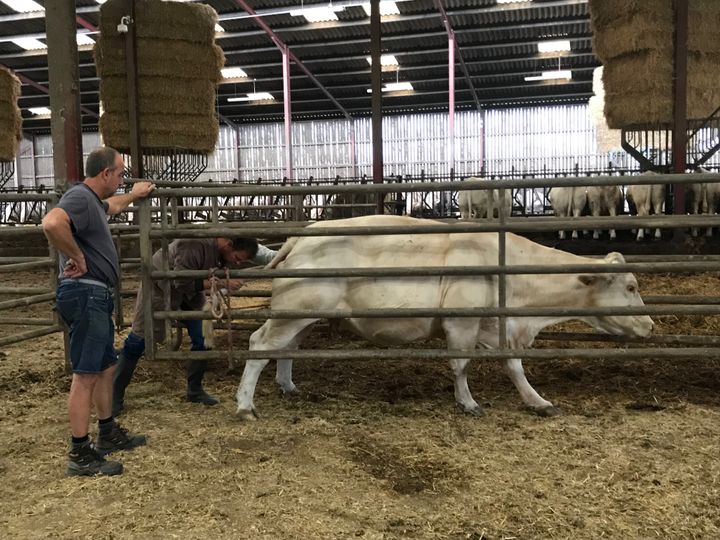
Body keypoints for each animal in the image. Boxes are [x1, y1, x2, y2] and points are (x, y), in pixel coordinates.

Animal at [236, 213, 652, 420]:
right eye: (631, 286)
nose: (650, 325)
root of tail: (302, 236)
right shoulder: (462, 322)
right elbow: (461, 365)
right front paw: (468, 403)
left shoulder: (498, 326)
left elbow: (514, 367)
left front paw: (537, 401)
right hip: (294, 309)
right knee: (259, 344)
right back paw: (245, 405)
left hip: (304, 313)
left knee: (287, 348)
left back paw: (288, 386)